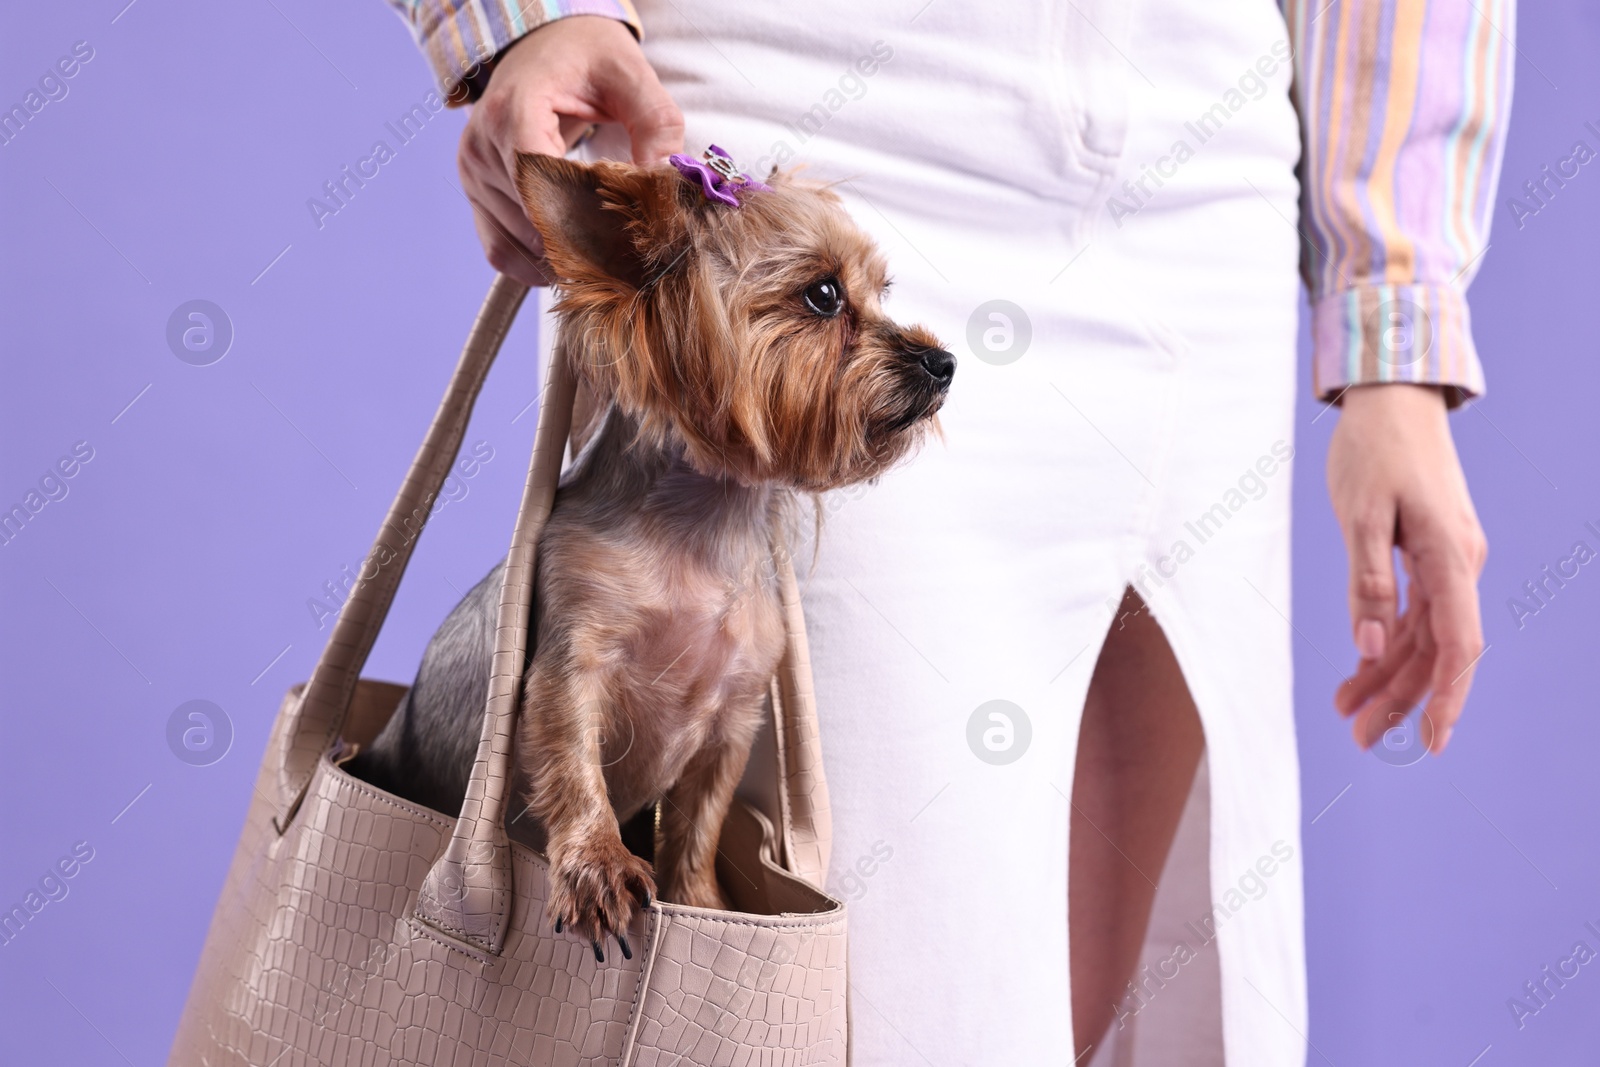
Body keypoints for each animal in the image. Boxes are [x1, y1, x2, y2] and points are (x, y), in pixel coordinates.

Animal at [350, 143, 947, 959]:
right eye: (824, 294)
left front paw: (701, 903)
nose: (942, 361)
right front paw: (600, 865)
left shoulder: (732, 717)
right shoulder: (570, 667)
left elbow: (697, 827)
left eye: (881, 292)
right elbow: (574, 766)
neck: (705, 524)